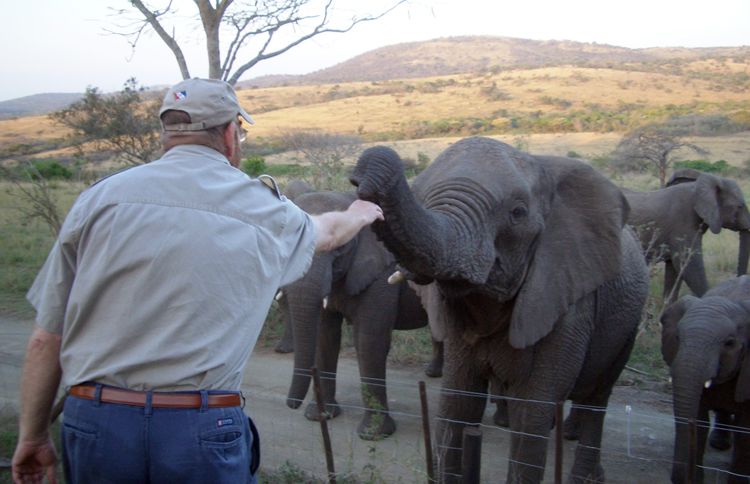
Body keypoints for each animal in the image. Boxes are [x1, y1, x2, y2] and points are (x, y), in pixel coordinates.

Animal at [284, 191, 444, 440]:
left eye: (340, 246)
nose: (291, 405)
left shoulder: (382, 274)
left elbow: (370, 340)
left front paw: (373, 435)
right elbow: (325, 337)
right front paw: (320, 416)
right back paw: (433, 373)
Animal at [352, 134, 652, 482]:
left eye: (517, 213)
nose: (364, 169)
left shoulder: (567, 300)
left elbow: (531, 415)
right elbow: (457, 402)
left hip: (627, 325)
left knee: (598, 398)